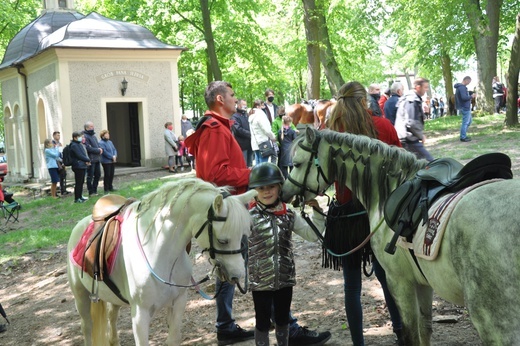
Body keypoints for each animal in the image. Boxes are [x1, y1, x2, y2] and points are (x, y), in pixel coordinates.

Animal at [68, 178, 256, 346]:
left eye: (244, 235)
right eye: (223, 240)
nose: (237, 276)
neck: (156, 250)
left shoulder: (178, 303)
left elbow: (173, 339)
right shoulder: (140, 315)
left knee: (111, 317)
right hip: (81, 296)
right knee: (87, 327)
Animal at [282, 129, 520, 346]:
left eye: (297, 164)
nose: (285, 193)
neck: (389, 190)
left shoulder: (399, 281)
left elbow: (411, 333)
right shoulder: (423, 282)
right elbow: (425, 329)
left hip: (493, 323)